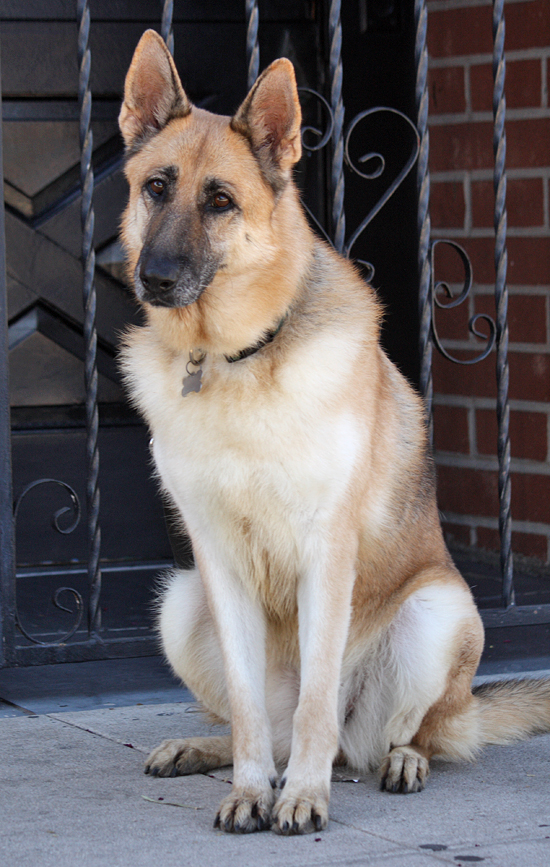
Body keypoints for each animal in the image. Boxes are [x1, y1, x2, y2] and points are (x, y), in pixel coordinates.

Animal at [118, 30, 550, 835]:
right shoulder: (217, 562)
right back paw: (212, 753)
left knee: (397, 733)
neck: (237, 358)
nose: (152, 279)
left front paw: (303, 798)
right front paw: (251, 789)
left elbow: (318, 702)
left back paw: (396, 761)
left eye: (220, 201)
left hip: (439, 616)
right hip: (180, 603)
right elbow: (250, 714)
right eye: (156, 187)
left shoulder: (326, 552)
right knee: (268, 727)